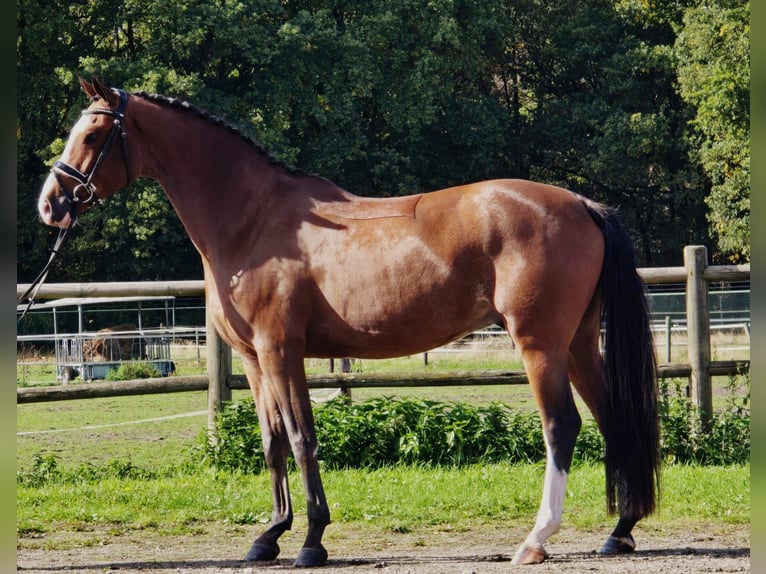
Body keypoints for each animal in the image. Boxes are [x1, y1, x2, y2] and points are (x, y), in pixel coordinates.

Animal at [37, 78, 660, 567]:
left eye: (92, 135)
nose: (50, 204)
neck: (254, 221)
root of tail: (582, 204)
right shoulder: (254, 361)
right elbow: (272, 442)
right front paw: (269, 536)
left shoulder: (281, 351)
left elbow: (302, 438)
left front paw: (311, 539)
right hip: (577, 343)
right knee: (612, 418)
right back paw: (620, 531)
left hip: (539, 345)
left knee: (562, 426)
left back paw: (536, 539)